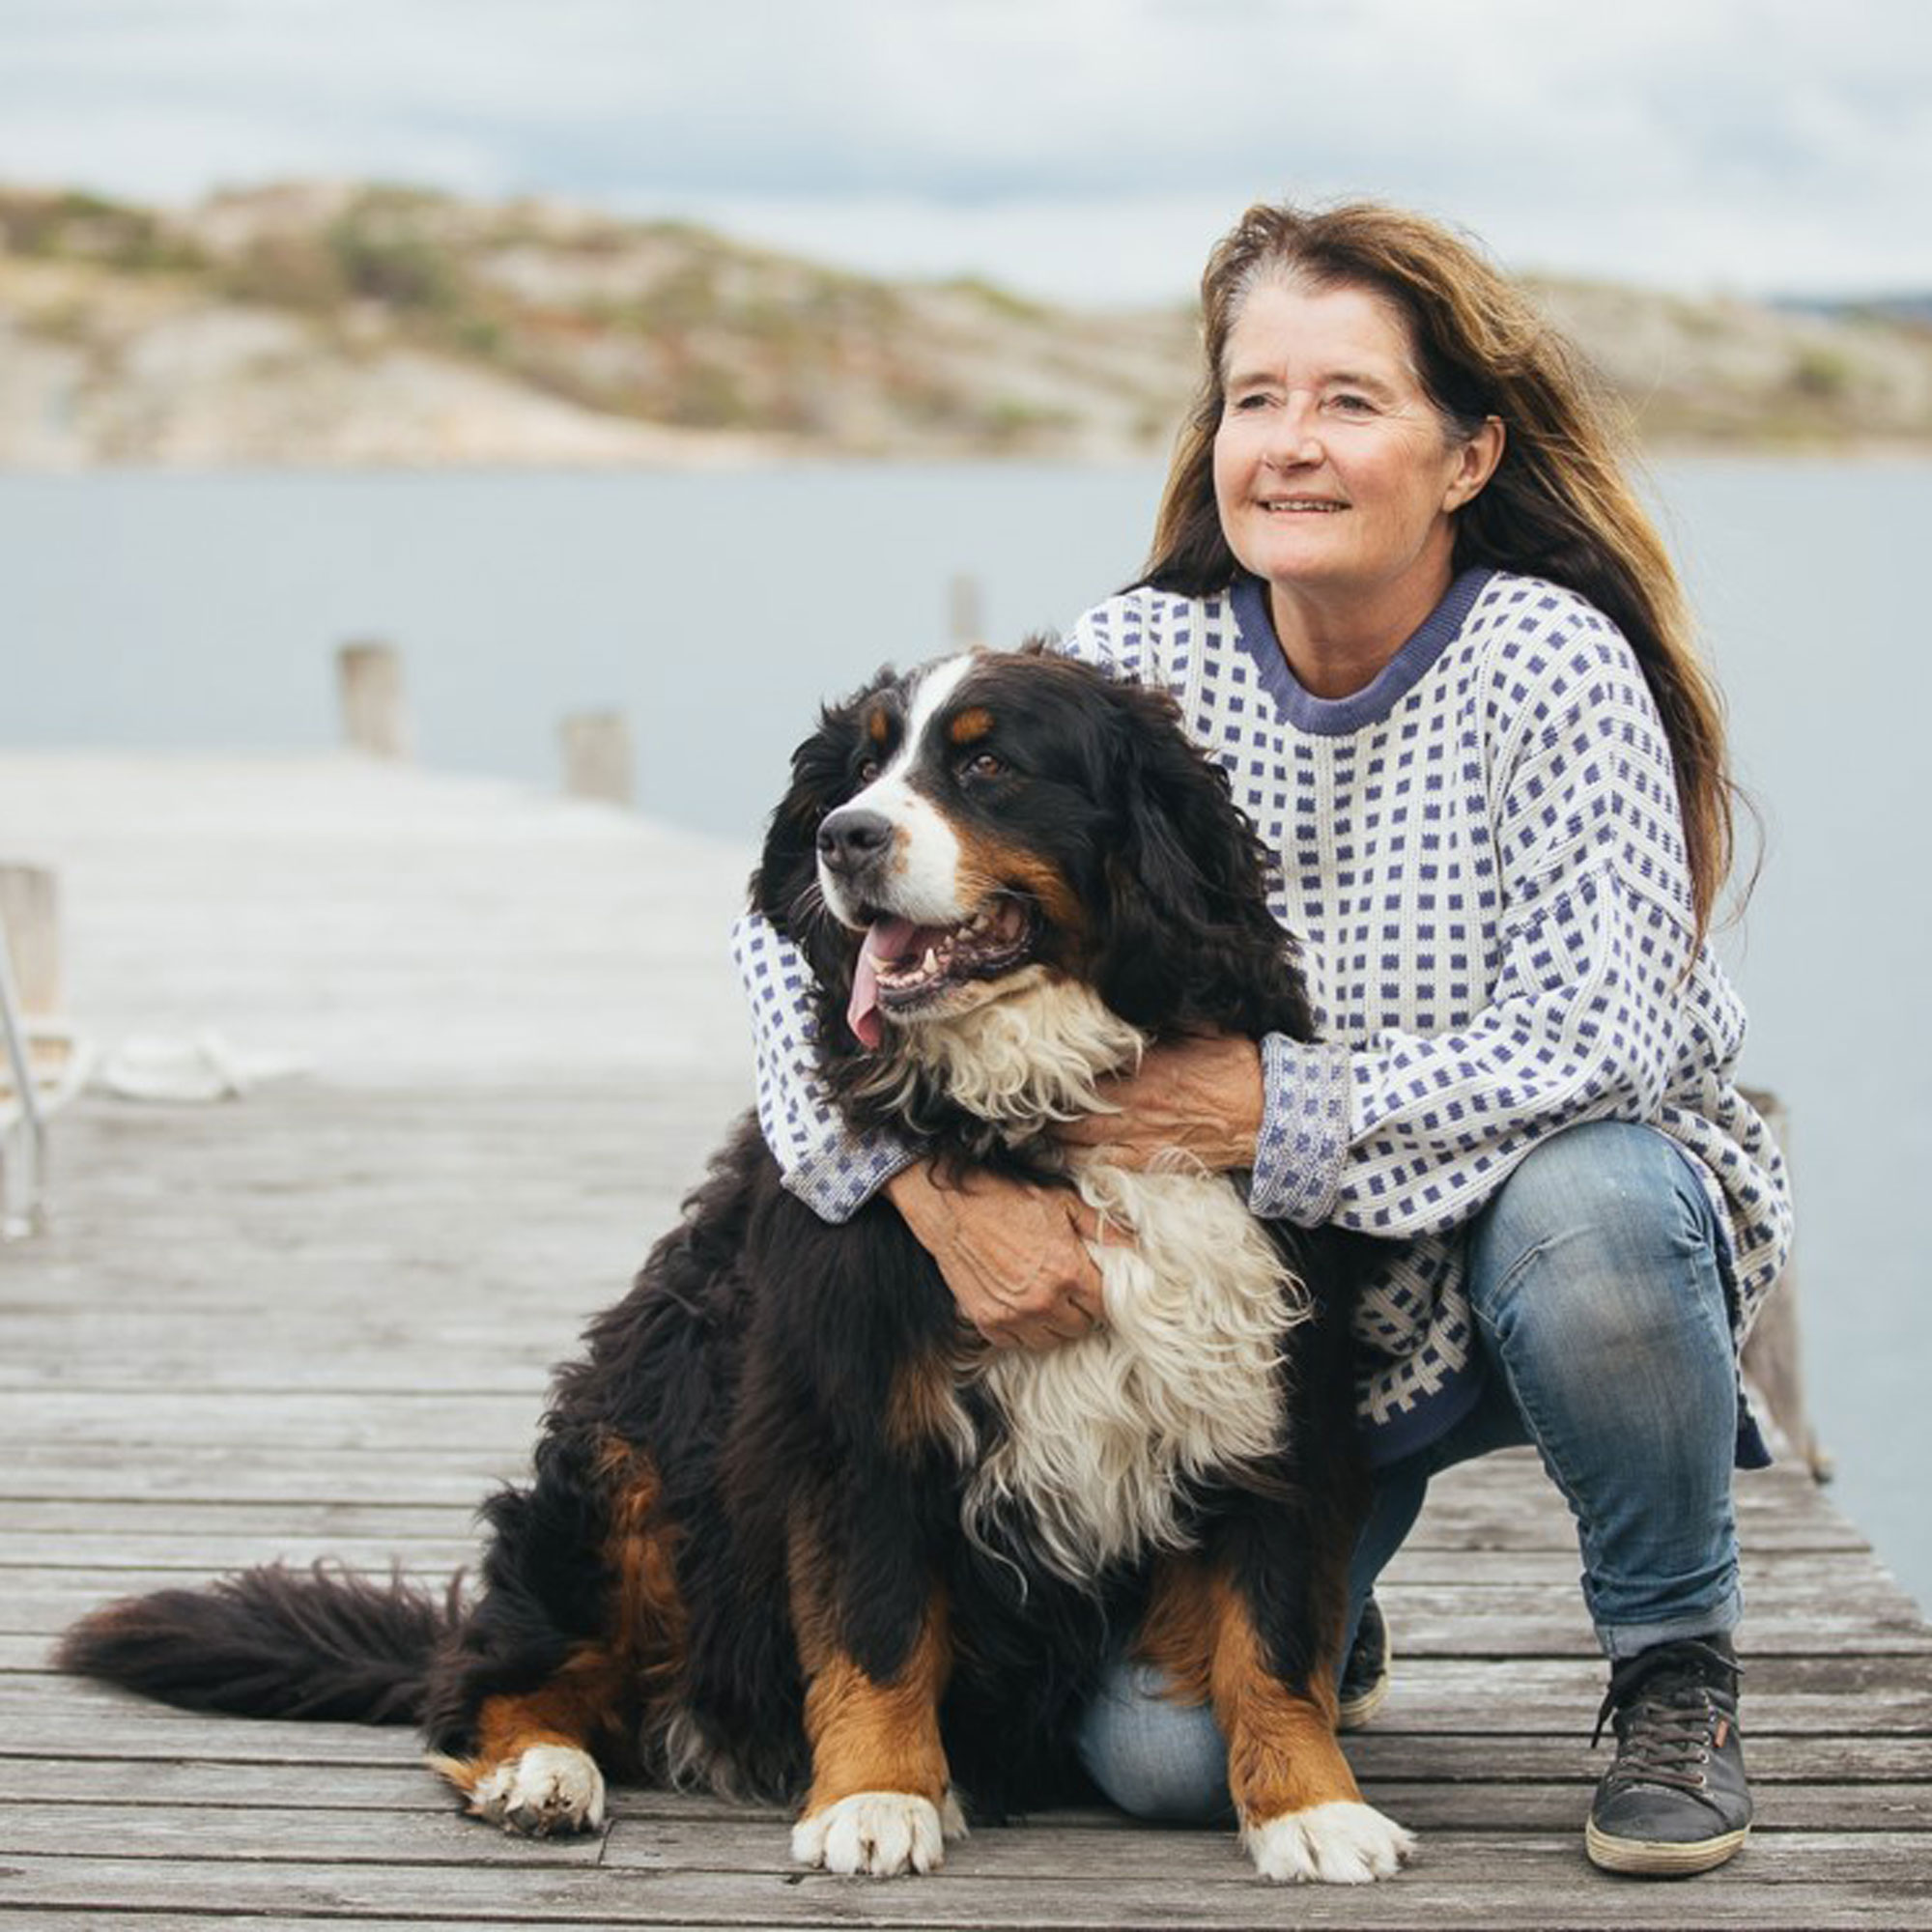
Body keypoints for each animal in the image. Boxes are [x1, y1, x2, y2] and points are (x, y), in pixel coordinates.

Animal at [60, 645, 1414, 1886]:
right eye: (862, 765)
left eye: (985, 764)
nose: (841, 836)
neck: (1043, 1103)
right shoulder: (854, 1403)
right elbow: (875, 1621)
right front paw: (875, 1798)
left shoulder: (1266, 1392)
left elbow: (1272, 1634)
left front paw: (1309, 1808)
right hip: (628, 1464)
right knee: (495, 1672)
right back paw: (541, 1771)